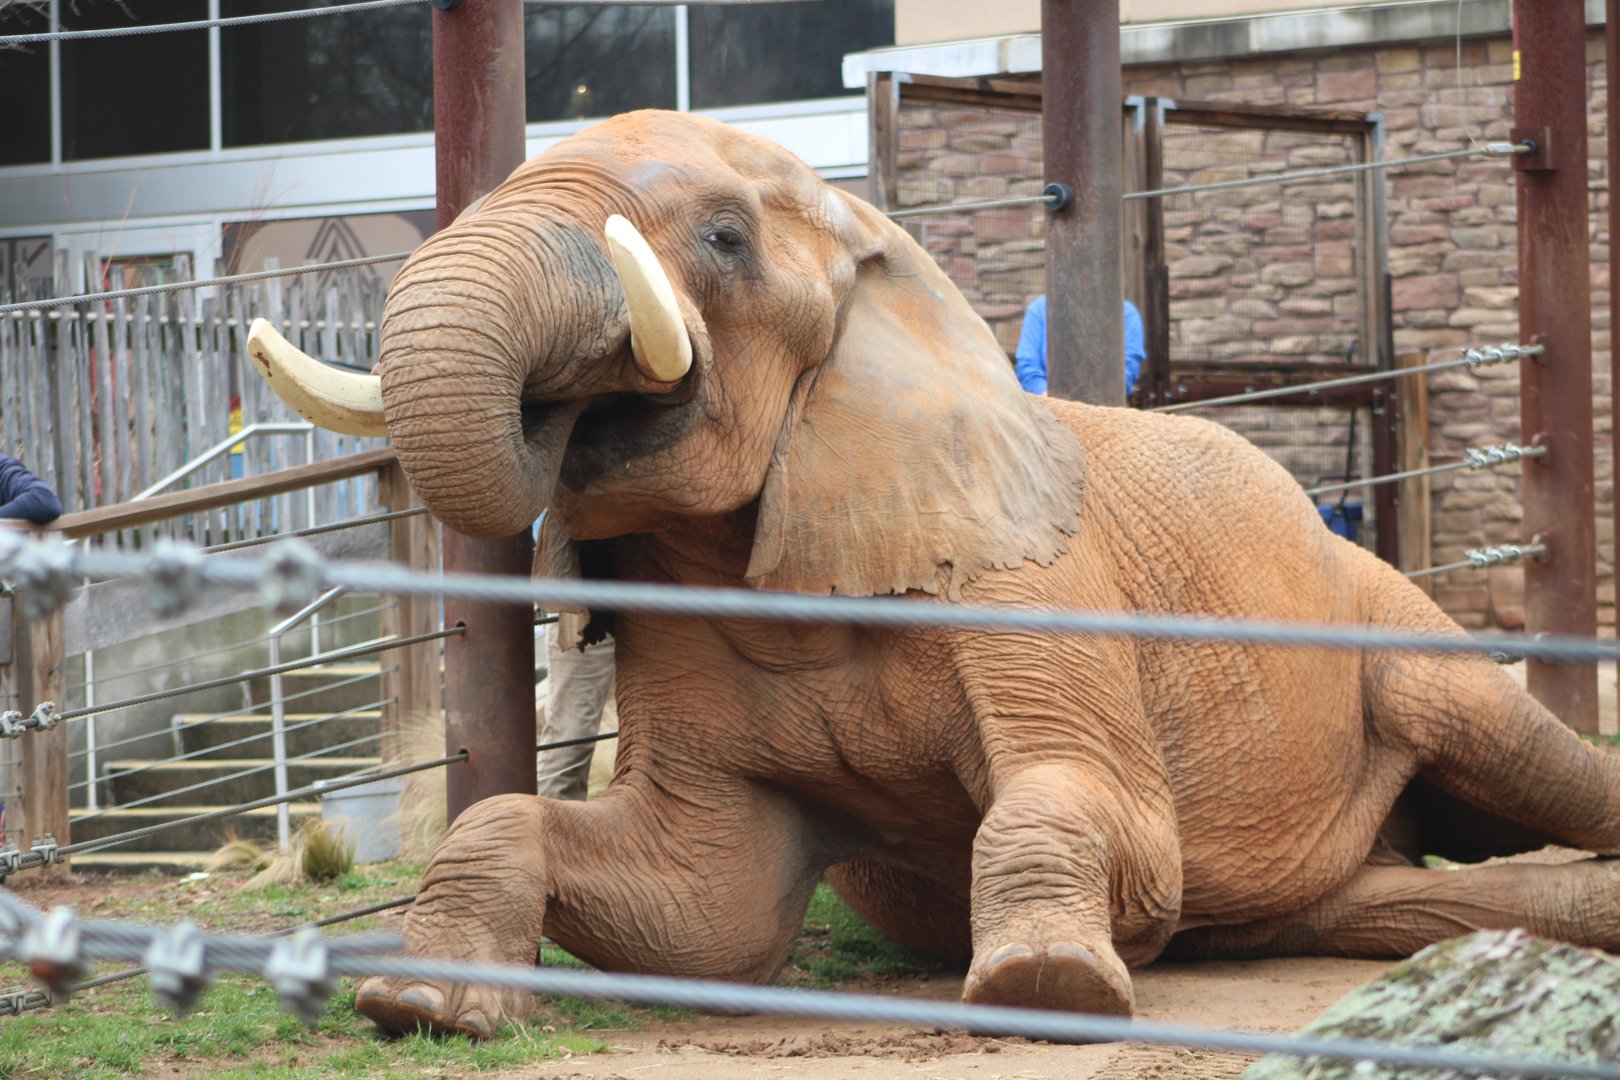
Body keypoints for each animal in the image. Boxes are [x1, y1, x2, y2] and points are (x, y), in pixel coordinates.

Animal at [247, 110, 1620, 1038]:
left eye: (726, 239)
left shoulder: (1030, 582)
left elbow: (1101, 811)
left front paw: (1041, 989)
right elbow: (708, 906)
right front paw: (420, 1005)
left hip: (1396, 626)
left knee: (1514, 744)